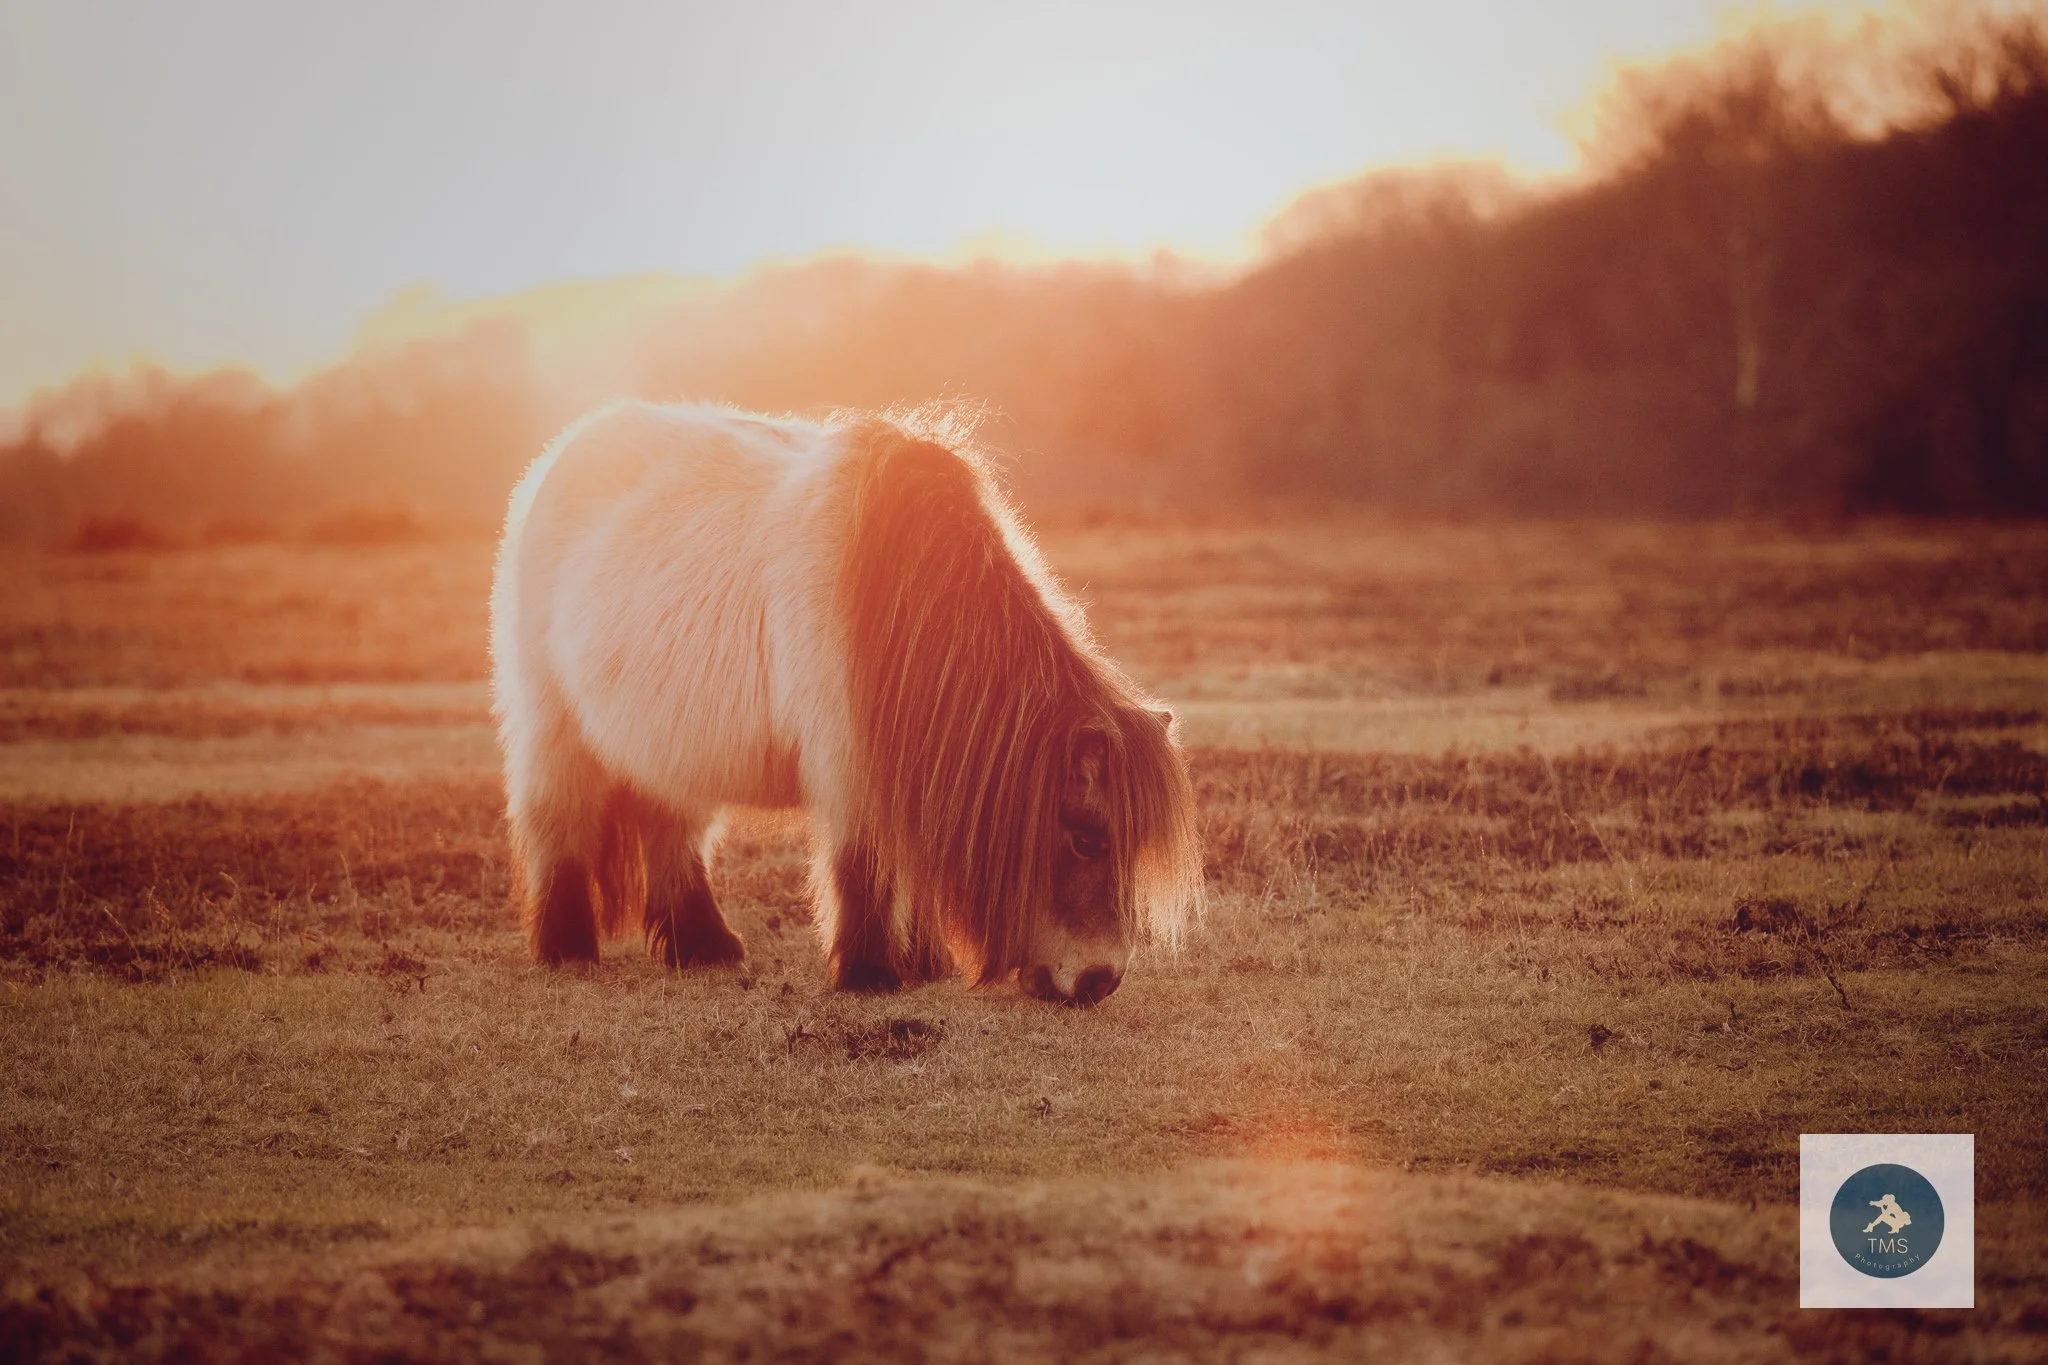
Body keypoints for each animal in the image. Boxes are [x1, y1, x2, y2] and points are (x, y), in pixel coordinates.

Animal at [490, 401, 1200, 1004]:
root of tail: (559, 456)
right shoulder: (849, 763)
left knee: (670, 829)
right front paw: (872, 973)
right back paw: (568, 947)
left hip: (666, 742)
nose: (1099, 982)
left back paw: (704, 946)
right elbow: (866, 863)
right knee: (558, 820)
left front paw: (924, 963)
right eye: (1085, 839)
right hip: (554, 728)